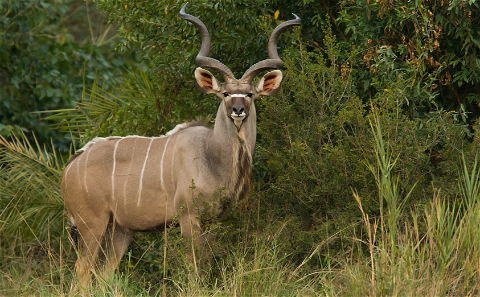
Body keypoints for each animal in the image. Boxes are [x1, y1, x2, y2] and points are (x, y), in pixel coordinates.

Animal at [62, 3, 298, 286]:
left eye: (250, 94)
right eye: (225, 93)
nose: (238, 110)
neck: (211, 155)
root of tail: (70, 167)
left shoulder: (213, 220)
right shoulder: (189, 217)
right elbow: (193, 267)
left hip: (120, 229)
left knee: (106, 273)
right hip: (92, 223)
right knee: (82, 269)